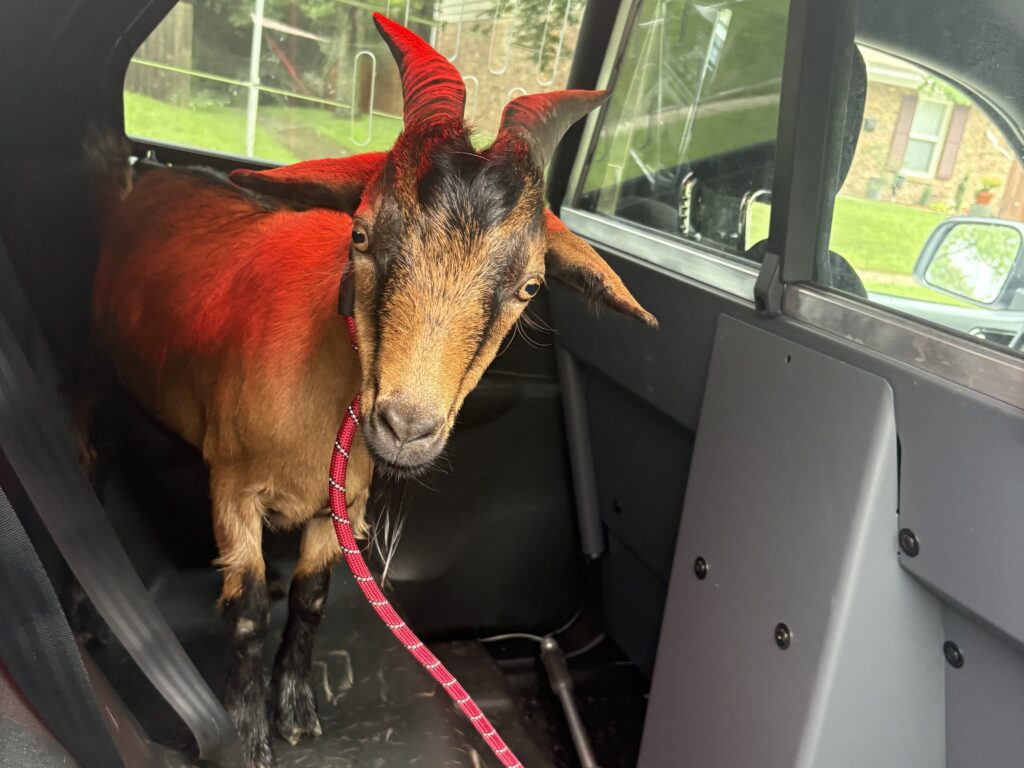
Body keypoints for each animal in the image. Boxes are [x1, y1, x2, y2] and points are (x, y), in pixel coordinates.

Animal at [90, 14, 655, 768]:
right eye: (360, 234)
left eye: (531, 286)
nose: (405, 429)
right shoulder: (233, 489)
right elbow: (245, 615)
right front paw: (248, 735)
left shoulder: (343, 503)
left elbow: (312, 598)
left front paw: (297, 711)